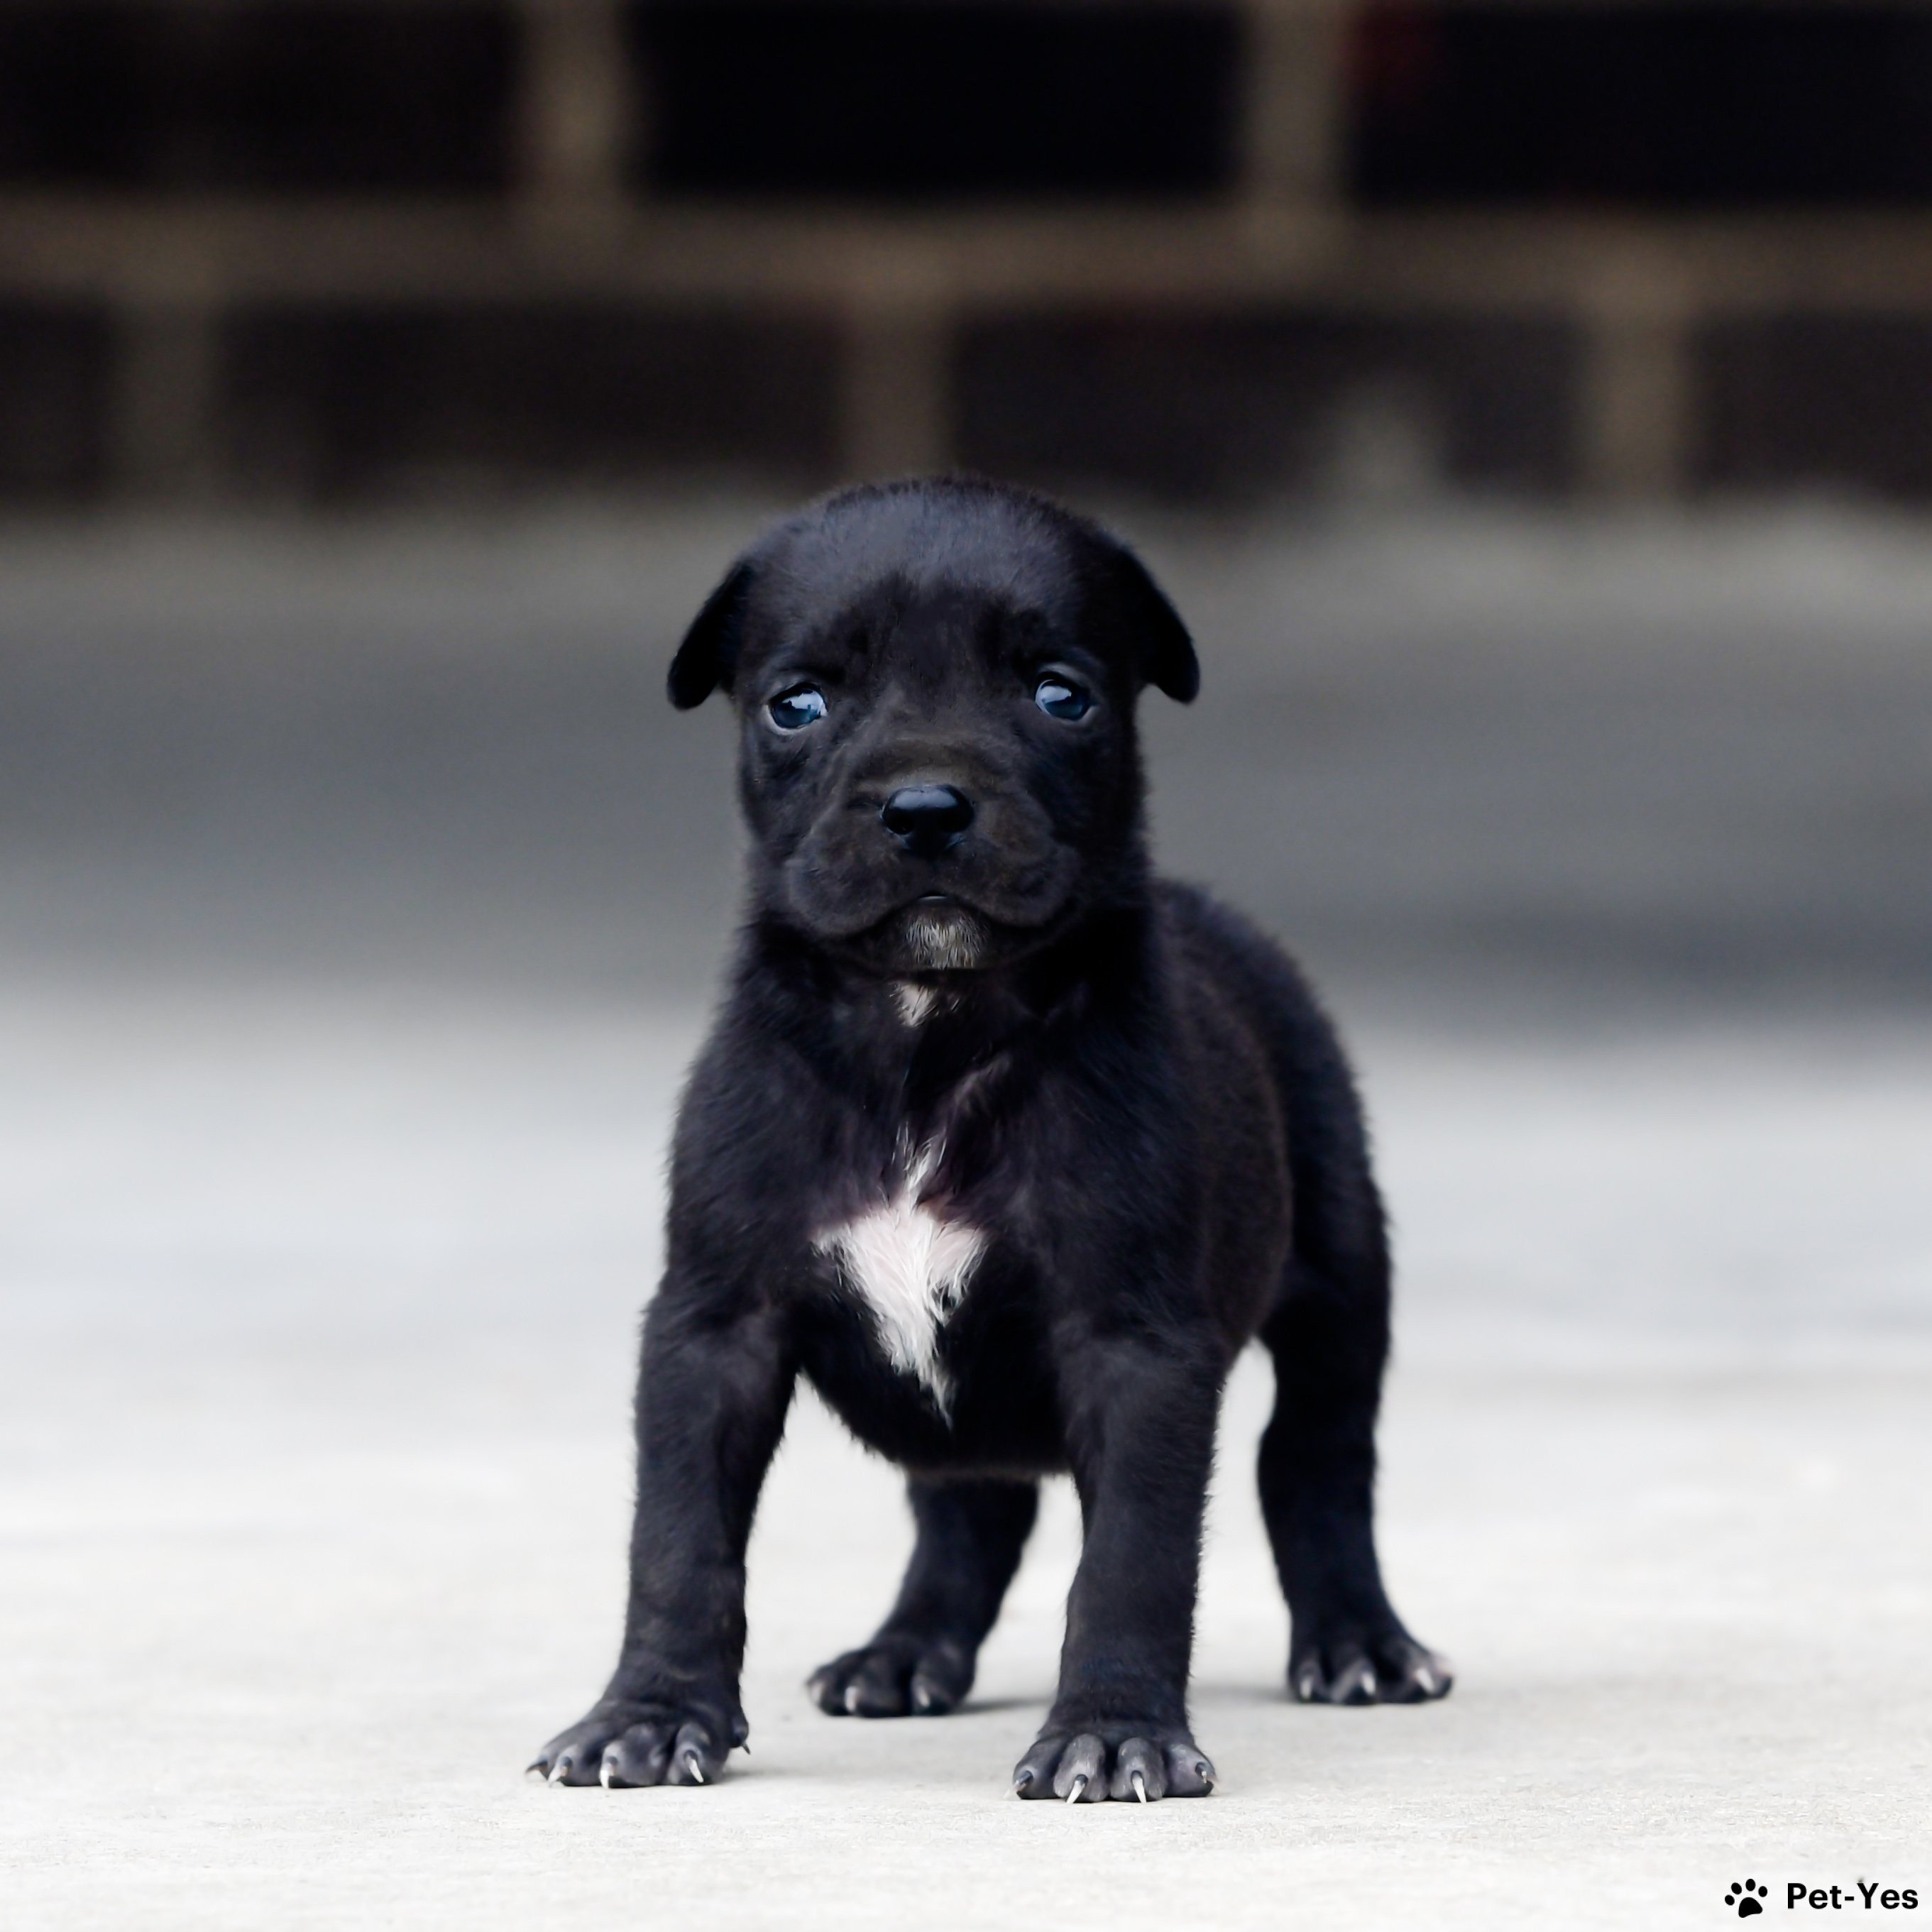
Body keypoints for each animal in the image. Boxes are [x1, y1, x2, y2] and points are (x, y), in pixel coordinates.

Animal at [529, 475, 1452, 1800]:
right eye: (796, 704)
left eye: (1060, 694)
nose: (923, 807)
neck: (927, 1032)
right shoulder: (713, 1329)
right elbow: (679, 1540)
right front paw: (648, 1713)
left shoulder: (1133, 1342)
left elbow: (1130, 1559)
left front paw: (1112, 1730)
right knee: (972, 1502)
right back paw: (906, 1651)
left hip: (1336, 1273)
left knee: (1315, 1460)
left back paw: (1360, 1644)